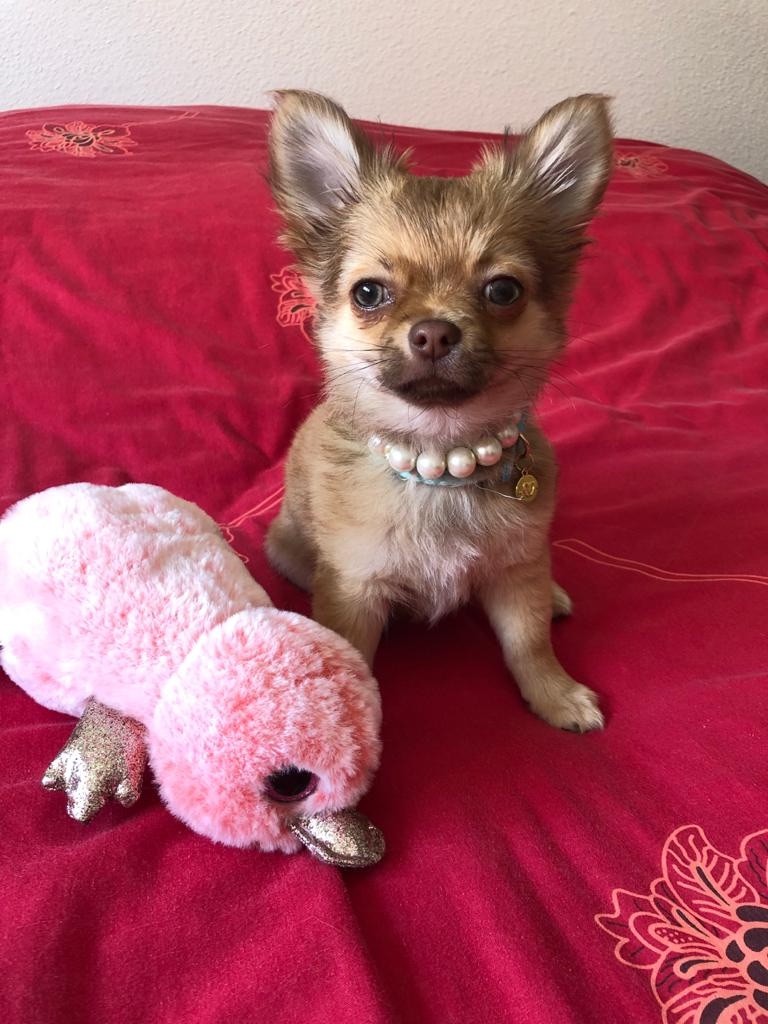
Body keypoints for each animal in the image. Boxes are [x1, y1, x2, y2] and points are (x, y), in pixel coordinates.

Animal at [265, 90, 612, 732]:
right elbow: (352, 663)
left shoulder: (517, 569)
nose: (433, 332)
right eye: (369, 293)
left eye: (503, 290)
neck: (441, 457)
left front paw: (555, 694)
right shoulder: (352, 590)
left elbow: (528, 641)